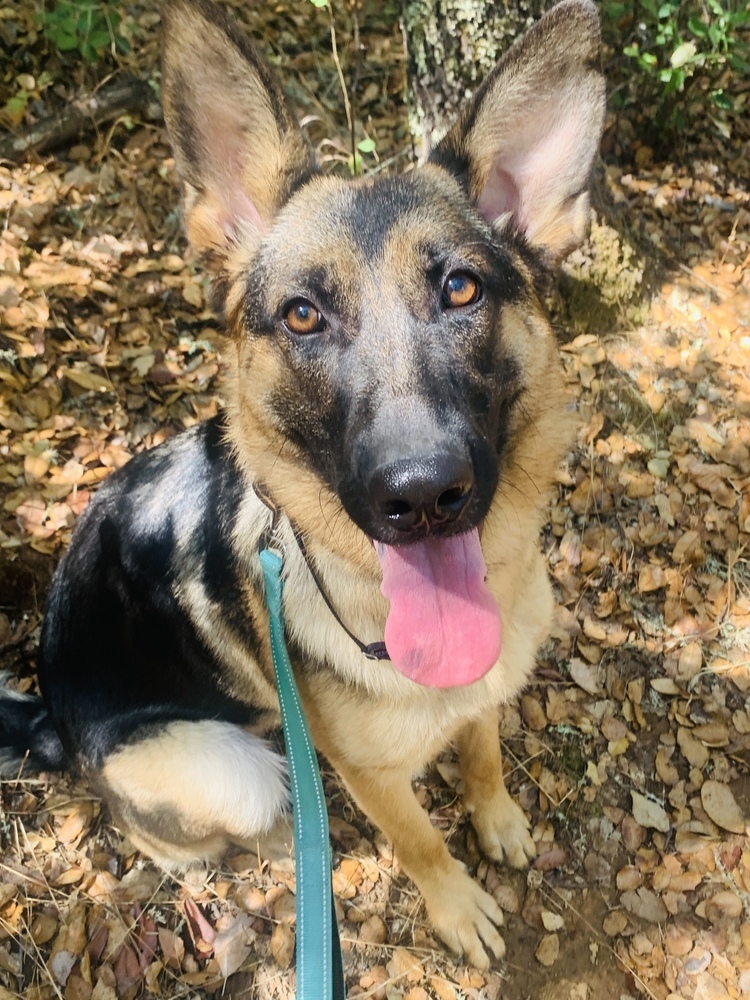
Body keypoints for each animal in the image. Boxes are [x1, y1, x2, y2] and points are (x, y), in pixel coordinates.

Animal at [0, 0, 608, 968]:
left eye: (461, 288)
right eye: (301, 315)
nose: (421, 495)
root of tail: (54, 723)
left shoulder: (481, 698)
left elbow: (482, 753)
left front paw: (498, 818)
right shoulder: (372, 778)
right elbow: (418, 838)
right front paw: (453, 902)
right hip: (229, 770)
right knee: (184, 835)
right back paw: (297, 842)